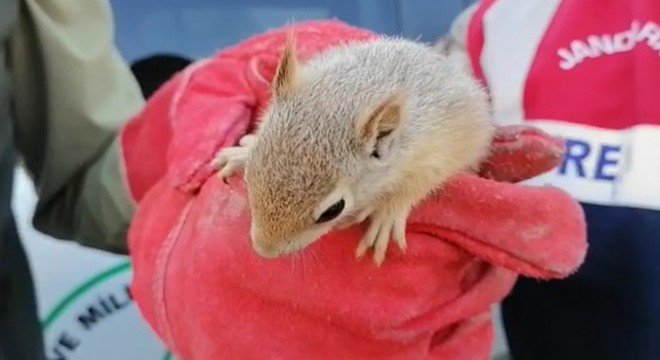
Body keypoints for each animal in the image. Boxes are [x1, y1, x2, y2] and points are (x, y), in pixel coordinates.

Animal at [214, 32, 492, 266]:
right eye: (249, 177)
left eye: (333, 210)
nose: (265, 251)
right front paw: (241, 152)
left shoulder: (435, 149)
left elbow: (417, 184)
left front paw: (387, 214)